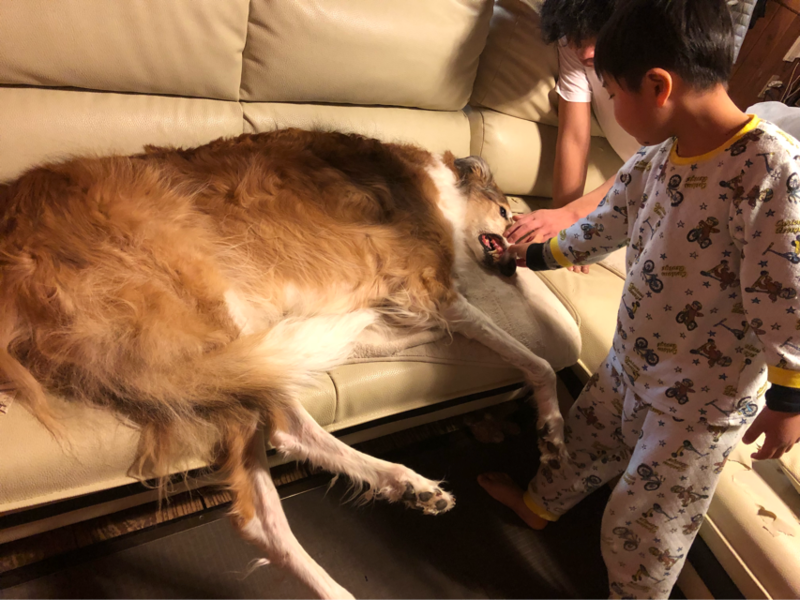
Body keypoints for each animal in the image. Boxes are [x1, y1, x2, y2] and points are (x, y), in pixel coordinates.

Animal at [0, 129, 565, 600]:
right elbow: (537, 360)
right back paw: (406, 483)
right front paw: (553, 429)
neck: (436, 187)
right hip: (213, 317)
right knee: (284, 429)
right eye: (507, 214)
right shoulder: (434, 292)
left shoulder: (370, 318)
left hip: (229, 344)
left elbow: (391, 334)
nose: (518, 267)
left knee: (260, 511)